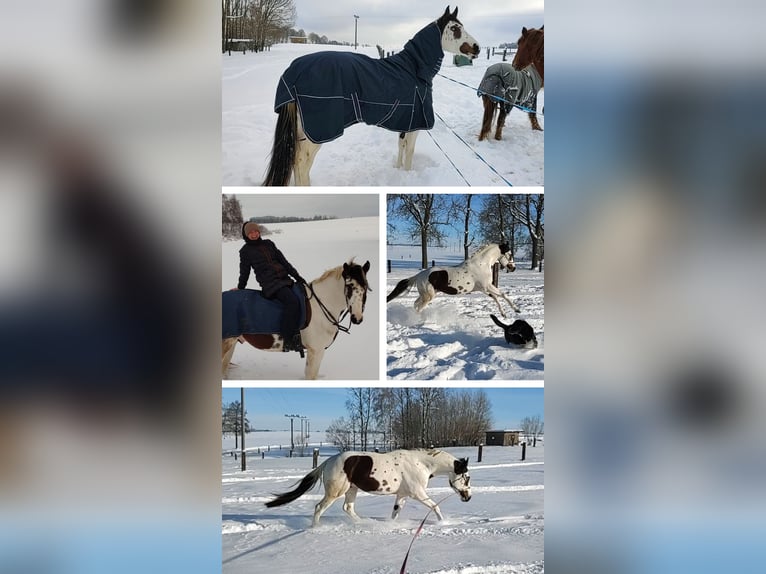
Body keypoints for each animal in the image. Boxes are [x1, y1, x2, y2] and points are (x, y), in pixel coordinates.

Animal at [263, 6, 480, 186]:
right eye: (455, 28)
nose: (477, 47)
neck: (413, 68)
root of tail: (293, 71)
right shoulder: (415, 125)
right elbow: (409, 152)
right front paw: (407, 175)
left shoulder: (405, 122)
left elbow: (401, 146)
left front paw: (398, 170)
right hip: (317, 133)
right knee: (302, 163)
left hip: (302, 131)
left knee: (295, 160)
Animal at [265, 449, 471, 526]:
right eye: (466, 477)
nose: (468, 497)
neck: (422, 463)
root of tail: (328, 461)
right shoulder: (417, 493)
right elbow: (435, 506)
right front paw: (443, 523)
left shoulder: (402, 495)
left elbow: (395, 513)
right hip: (336, 492)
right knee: (319, 508)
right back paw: (315, 528)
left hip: (352, 490)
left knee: (347, 508)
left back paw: (363, 522)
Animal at [386, 243, 520, 317]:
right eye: (510, 254)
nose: (513, 268)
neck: (481, 264)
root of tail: (419, 275)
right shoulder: (487, 286)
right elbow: (503, 295)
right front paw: (516, 310)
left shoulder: (484, 289)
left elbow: (496, 297)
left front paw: (504, 314)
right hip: (428, 296)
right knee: (419, 308)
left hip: (425, 295)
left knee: (415, 305)